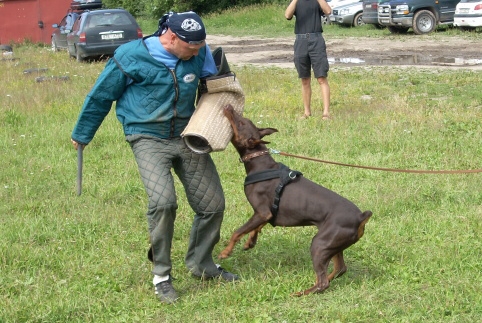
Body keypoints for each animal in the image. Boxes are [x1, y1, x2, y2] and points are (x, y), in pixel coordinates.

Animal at [218, 105, 372, 298]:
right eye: (243, 119)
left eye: (240, 123)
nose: (228, 107)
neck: (260, 162)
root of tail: (360, 217)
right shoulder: (266, 213)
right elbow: (257, 227)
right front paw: (250, 242)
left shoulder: (262, 211)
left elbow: (237, 232)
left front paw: (225, 252)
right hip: (334, 245)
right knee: (339, 269)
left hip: (320, 244)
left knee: (323, 282)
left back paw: (302, 292)